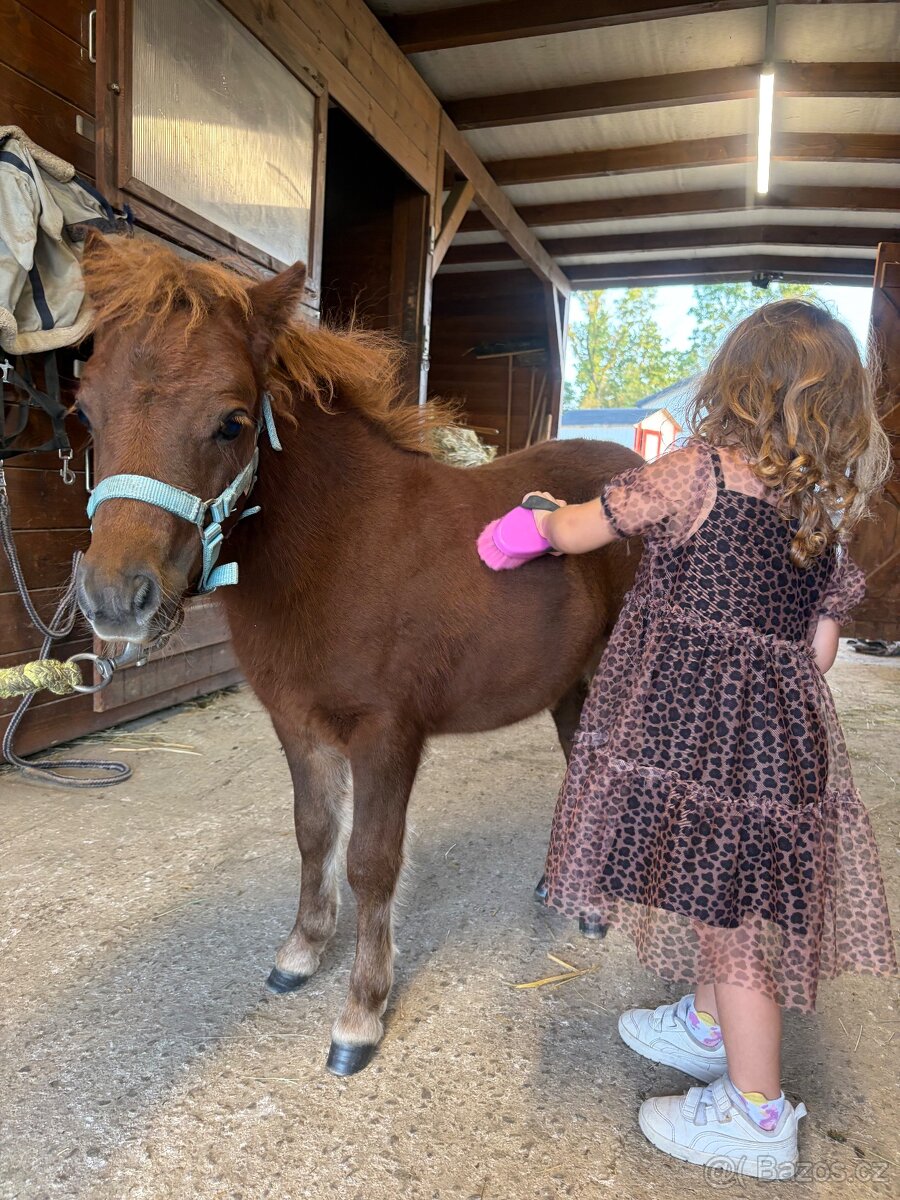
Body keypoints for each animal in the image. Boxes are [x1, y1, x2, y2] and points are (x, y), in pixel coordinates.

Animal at [74, 235, 641, 1076]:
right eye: (85, 409)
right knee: (583, 768)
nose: (116, 599)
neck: (343, 544)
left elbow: (371, 861)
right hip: (574, 683)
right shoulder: (299, 724)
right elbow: (315, 834)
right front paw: (300, 954)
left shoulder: (386, 735)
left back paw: (596, 909)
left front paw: (360, 1016)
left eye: (233, 421)